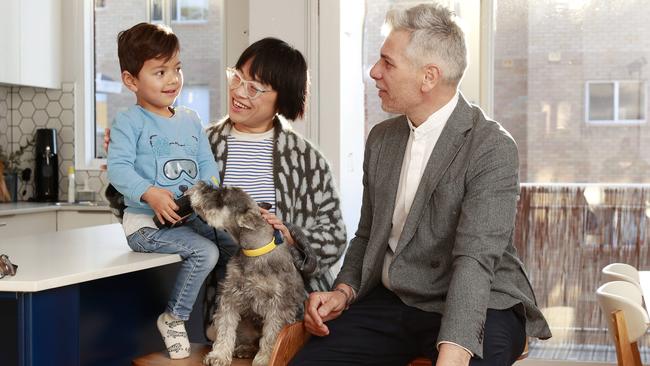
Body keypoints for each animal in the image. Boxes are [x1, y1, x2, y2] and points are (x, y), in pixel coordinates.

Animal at [184, 182, 302, 366]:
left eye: (222, 195)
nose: (199, 185)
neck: (254, 252)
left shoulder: (279, 304)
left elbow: (272, 334)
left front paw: (265, 358)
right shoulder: (230, 296)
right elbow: (225, 328)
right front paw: (218, 355)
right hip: (216, 328)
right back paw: (245, 349)